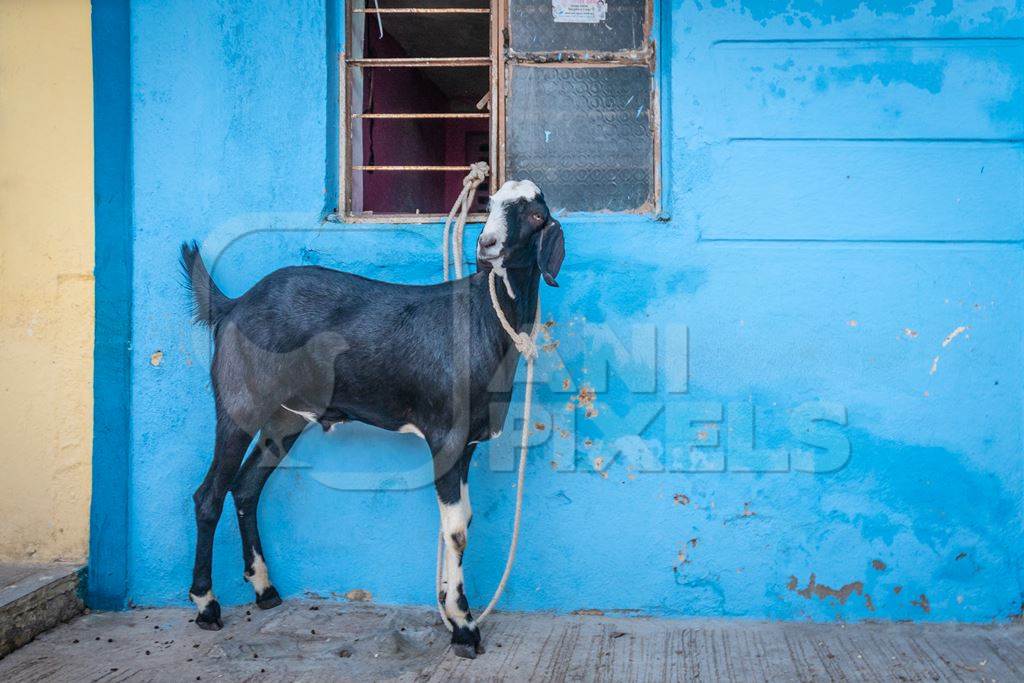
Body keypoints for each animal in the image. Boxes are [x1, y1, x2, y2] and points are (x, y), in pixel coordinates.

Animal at [180, 179, 565, 659]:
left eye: (535, 215)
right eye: (490, 205)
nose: (487, 244)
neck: (483, 318)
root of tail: (232, 306)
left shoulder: (468, 444)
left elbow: (457, 522)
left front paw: (448, 607)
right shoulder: (446, 436)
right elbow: (457, 529)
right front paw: (463, 626)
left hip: (285, 419)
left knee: (246, 486)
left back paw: (265, 590)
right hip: (239, 405)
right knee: (209, 494)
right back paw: (206, 605)